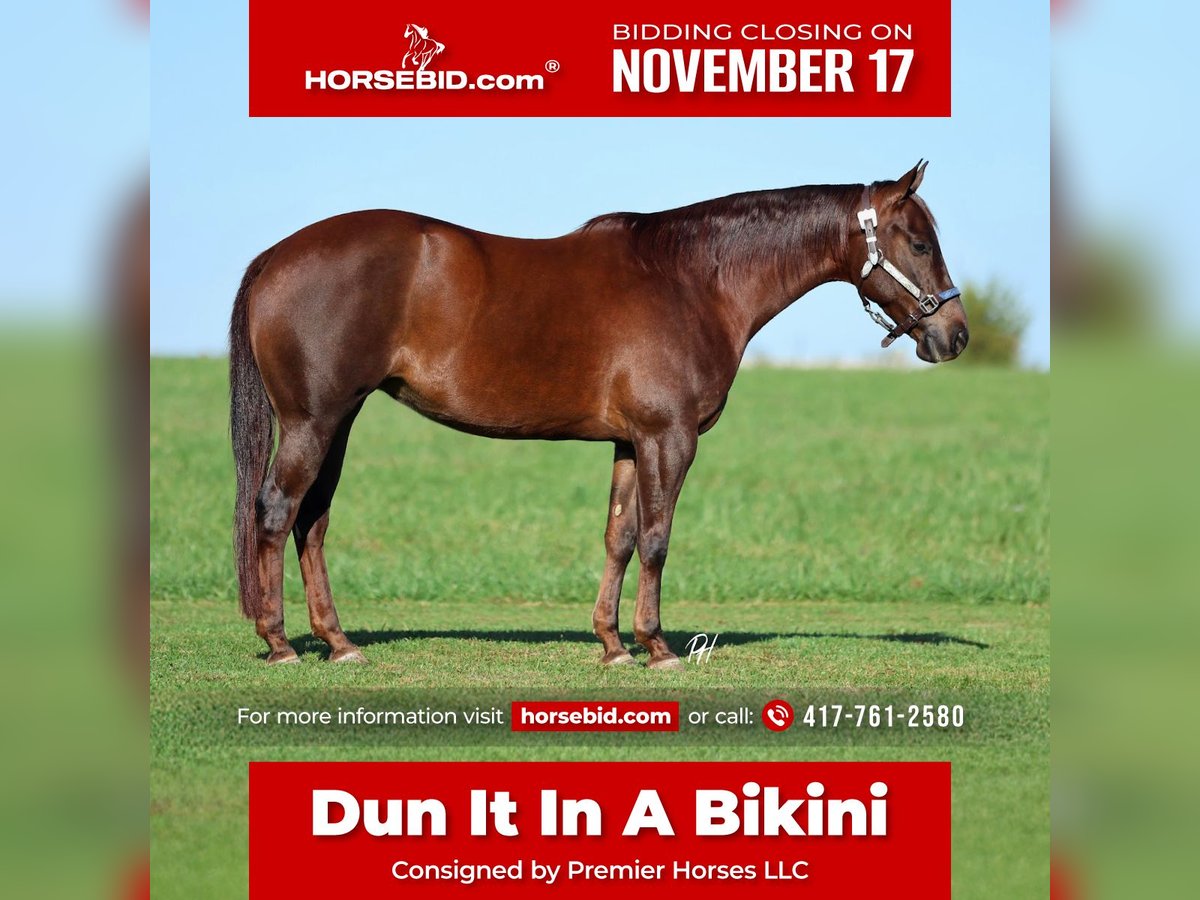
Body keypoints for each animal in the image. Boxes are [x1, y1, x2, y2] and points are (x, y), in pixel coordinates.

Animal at [229, 161, 968, 668]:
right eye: (919, 243)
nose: (955, 335)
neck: (693, 280)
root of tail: (275, 256)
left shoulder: (630, 442)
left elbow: (619, 537)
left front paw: (612, 645)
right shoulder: (669, 438)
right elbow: (657, 539)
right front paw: (658, 647)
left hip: (340, 419)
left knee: (312, 522)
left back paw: (338, 641)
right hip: (314, 421)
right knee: (277, 511)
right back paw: (281, 643)